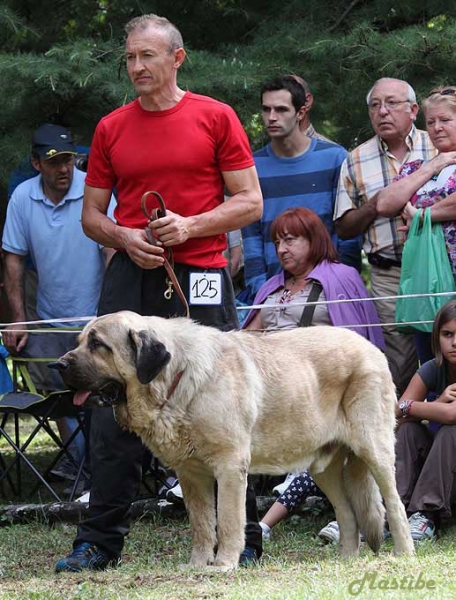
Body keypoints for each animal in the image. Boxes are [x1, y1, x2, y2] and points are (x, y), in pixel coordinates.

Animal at [52, 312, 414, 568]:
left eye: (98, 344)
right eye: (81, 340)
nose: (59, 364)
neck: (175, 380)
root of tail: (370, 346)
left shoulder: (228, 468)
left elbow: (227, 521)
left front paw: (224, 564)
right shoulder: (191, 475)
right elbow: (201, 524)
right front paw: (197, 565)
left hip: (374, 449)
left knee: (393, 503)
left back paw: (404, 553)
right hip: (323, 467)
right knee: (347, 512)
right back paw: (346, 560)